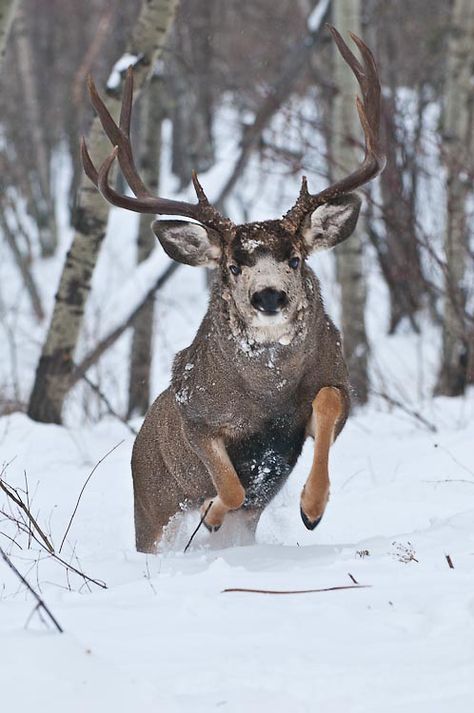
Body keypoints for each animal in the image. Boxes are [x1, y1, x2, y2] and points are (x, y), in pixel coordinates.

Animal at [81, 26, 386, 552]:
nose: (270, 297)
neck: (266, 394)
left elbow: (326, 405)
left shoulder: (340, 388)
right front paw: (210, 512)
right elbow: (229, 483)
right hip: (148, 517)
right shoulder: (196, 416)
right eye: (232, 265)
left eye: (295, 258)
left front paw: (311, 508)